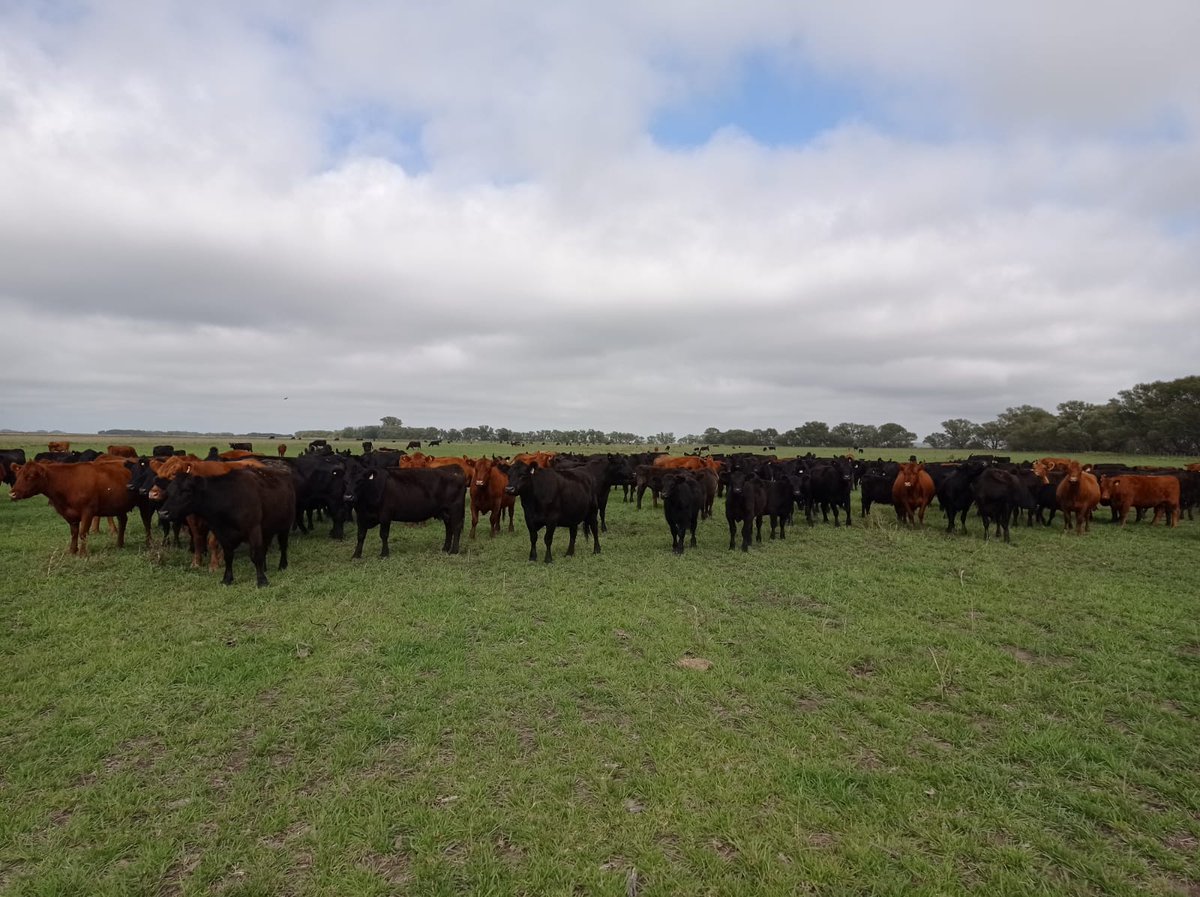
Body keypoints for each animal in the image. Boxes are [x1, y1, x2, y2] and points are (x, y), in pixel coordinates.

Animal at [8, 460, 151, 554]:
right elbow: (74, 533)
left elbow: (83, 533)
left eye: (30, 476)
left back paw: (148, 543)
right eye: (17, 475)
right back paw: (119, 544)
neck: (67, 483)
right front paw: (72, 551)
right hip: (119, 505)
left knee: (146, 522)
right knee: (123, 521)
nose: (12, 493)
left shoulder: (88, 511)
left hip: (144, 504)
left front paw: (83, 553)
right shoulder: (70, 514)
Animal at [158, 466, 295, 586]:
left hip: (285, 526)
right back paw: (265, 567)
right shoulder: (222, 533)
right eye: (168, 492)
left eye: (186, 490)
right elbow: (228, 557)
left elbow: (255, 555)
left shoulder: (254, 530)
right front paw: (227, 579)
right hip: (267, 529)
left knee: (283, 546)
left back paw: (282, 565)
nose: (163, 513)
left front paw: (262, 580)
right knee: (265, 547)